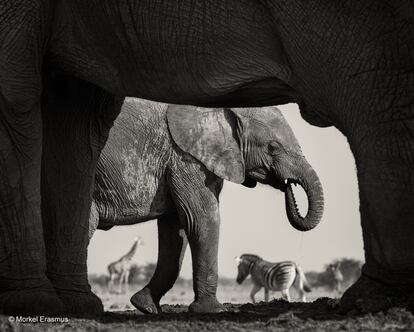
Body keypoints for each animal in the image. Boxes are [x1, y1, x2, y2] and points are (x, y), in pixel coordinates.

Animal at [90, 98, 324, 314]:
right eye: (272, 147)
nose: (288, 185)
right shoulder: (186, 159)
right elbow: (202, 219)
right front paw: (213, 310)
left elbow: (176, 230)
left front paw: (145, 306)